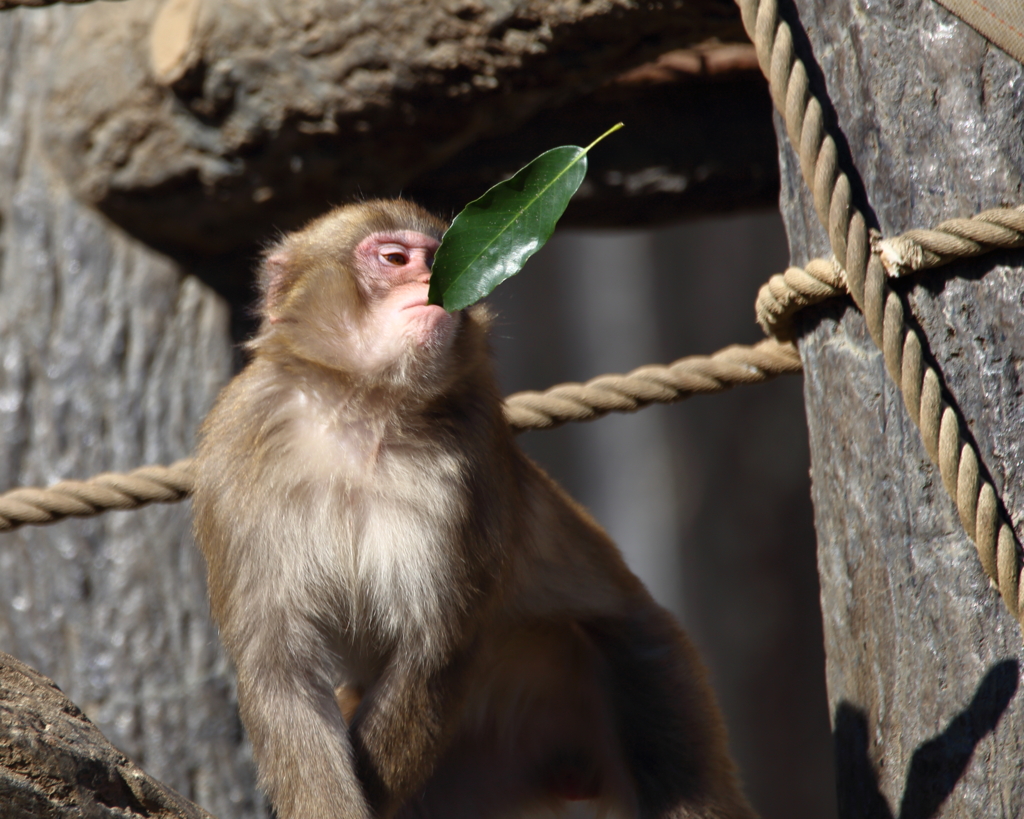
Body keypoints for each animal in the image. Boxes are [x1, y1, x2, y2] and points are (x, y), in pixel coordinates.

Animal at [190, 198, 761, 818]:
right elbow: (280, 673)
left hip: (655, 671)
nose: (431, 284)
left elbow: (435, 654)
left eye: (440, 258)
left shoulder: (471, 456)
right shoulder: (238, 453)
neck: (364, 407)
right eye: (396, 259)